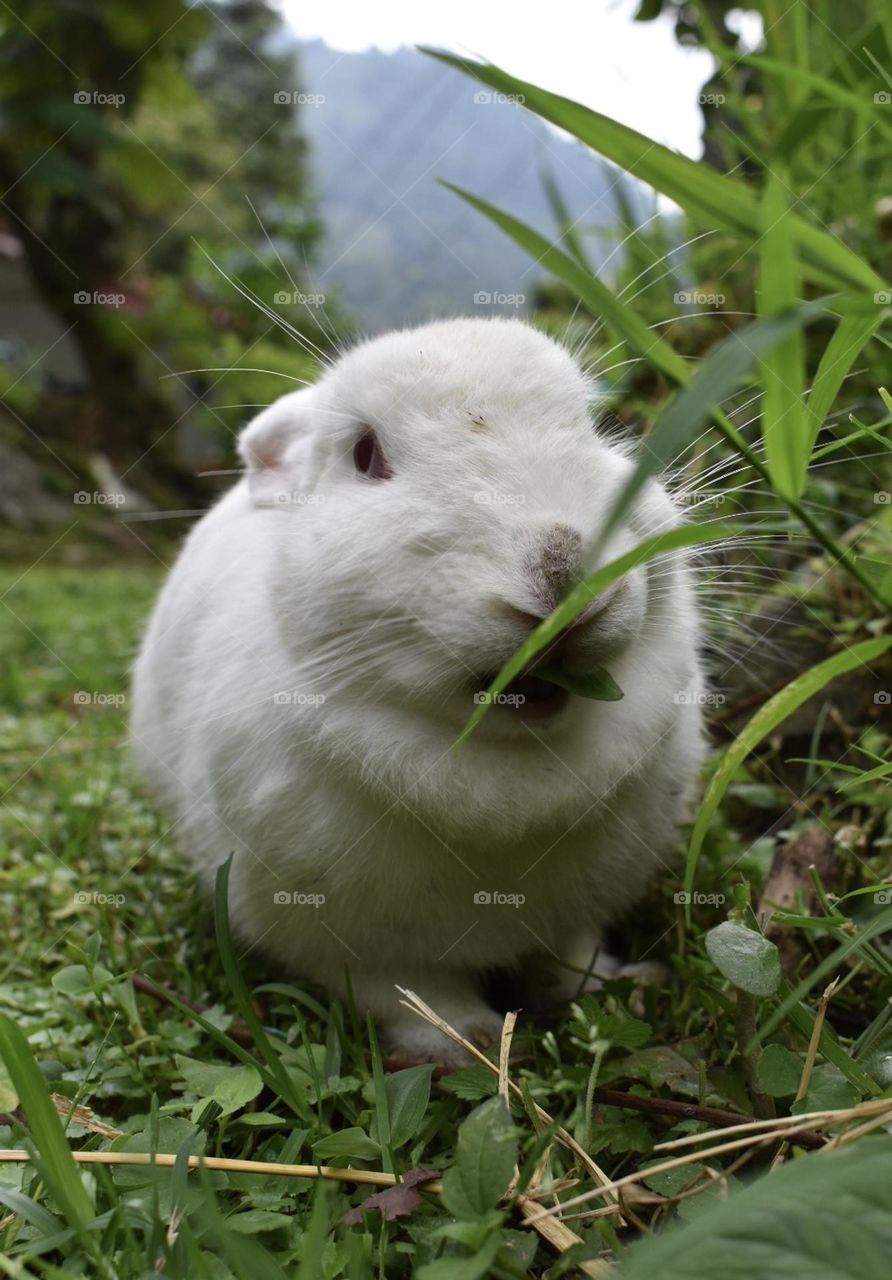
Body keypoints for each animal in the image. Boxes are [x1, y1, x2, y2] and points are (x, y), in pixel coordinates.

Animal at [130, 317, 706, 1065]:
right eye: (365, 453)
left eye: (592, 425)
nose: (560, 575)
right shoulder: (354, 948)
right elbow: (413, 995)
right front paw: (472, 1045)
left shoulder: (576, 914)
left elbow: (571, 956)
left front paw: (606, 989)